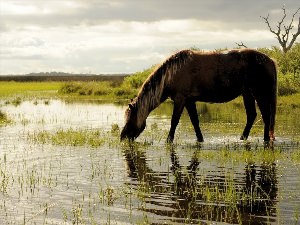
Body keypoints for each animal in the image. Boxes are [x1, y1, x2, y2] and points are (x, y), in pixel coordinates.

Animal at [120, 49, 276, 142]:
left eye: (130, 118)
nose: (122, 137)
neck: (171, 73)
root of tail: (269, 60)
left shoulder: (180, 99)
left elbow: (174, 121)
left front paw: (168, 140)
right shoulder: (189, 101)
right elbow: (195, 121)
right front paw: (200, 139)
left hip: (259, 94)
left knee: (265, 115)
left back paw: (265, 139)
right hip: (247, 94)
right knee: (253, 115)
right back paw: (243, 138)